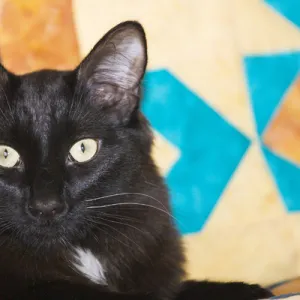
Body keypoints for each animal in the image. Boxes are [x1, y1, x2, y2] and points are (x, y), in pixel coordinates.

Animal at [0, 21, 274, 300]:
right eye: (6, 154)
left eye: (83, 149)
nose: (46, 206)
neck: (81, 250)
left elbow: (174, 289)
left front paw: (250, 290)